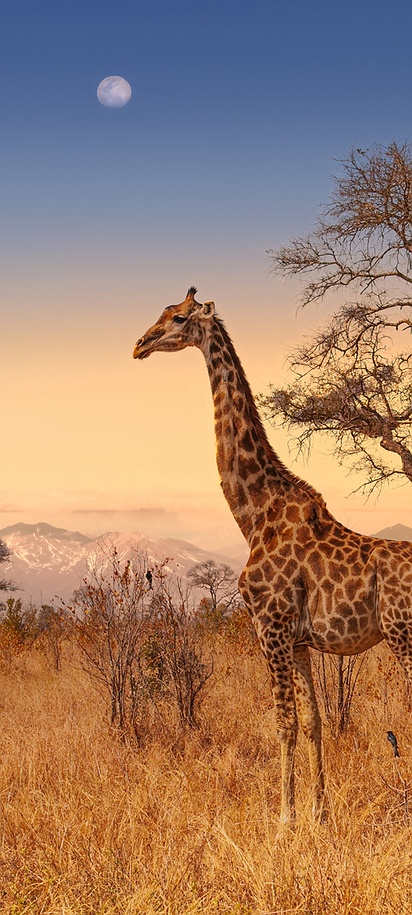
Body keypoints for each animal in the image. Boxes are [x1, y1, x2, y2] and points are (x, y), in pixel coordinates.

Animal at [133, 286, 412, 827]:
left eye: (178, 318)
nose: (139, 344)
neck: (253, 512)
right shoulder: (300, 640)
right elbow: (314, 721)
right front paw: (319, 813)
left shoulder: (271, 624)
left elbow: (283, 722)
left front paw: (284, 818)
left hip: (402, 634)